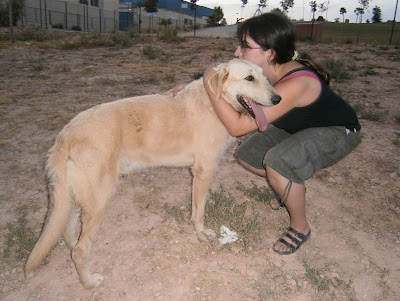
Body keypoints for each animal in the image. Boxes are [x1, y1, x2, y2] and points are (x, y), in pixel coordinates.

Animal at [25, 57, 282, 288]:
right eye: (249, 78)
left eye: (265, 77)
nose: (278, 99)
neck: (215, 102)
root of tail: (65, 133)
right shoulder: (203, 171)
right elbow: (198, 212)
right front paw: (201, 234)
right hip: (99, 201)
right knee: (79, 250)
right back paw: (88, 282)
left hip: (76, 198)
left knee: (68, 232)